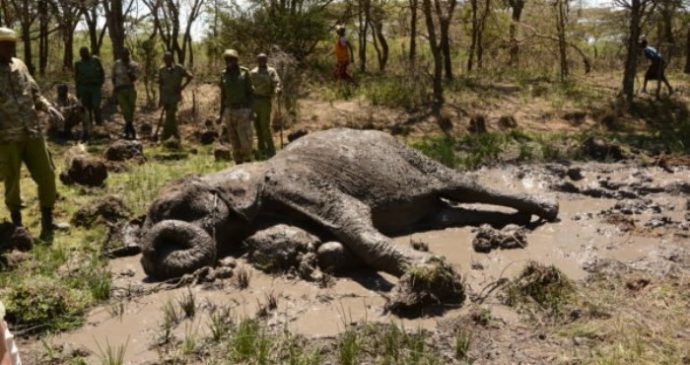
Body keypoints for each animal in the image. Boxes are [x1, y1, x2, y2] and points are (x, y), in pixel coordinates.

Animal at [137, 128, 556, 282]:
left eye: (167, 209)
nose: (148, 259)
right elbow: (336, 239)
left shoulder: (300, 184)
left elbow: (354, 222)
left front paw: (429, 269)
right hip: (433, 204)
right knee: (450, 212)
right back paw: (519, 219)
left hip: (416, 160)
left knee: (465, 187)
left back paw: (545, 211)